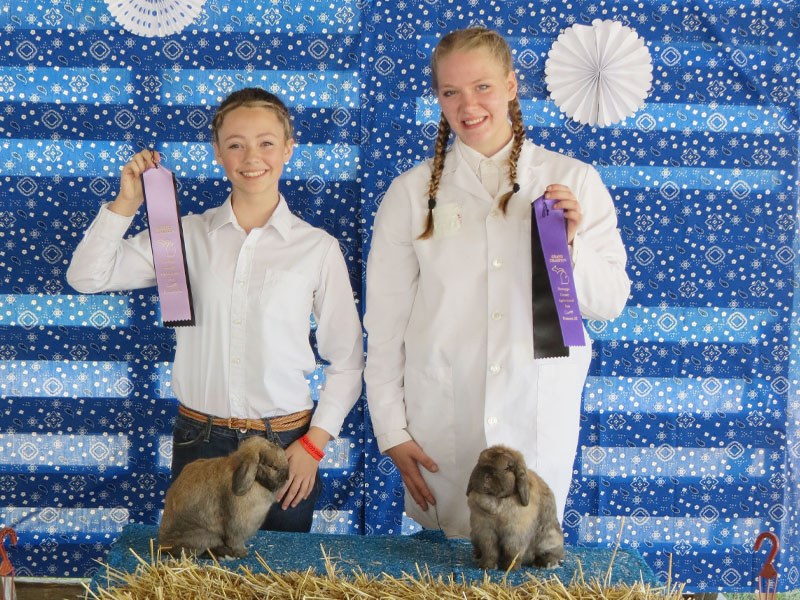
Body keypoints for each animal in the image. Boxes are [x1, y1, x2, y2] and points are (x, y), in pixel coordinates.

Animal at [158, 435, 289, 559]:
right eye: (272, 466)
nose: (287, 477)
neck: (255, 482)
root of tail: (164, 544)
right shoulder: (237, 528)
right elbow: (235, 541)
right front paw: (242, 552)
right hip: (205, 536)